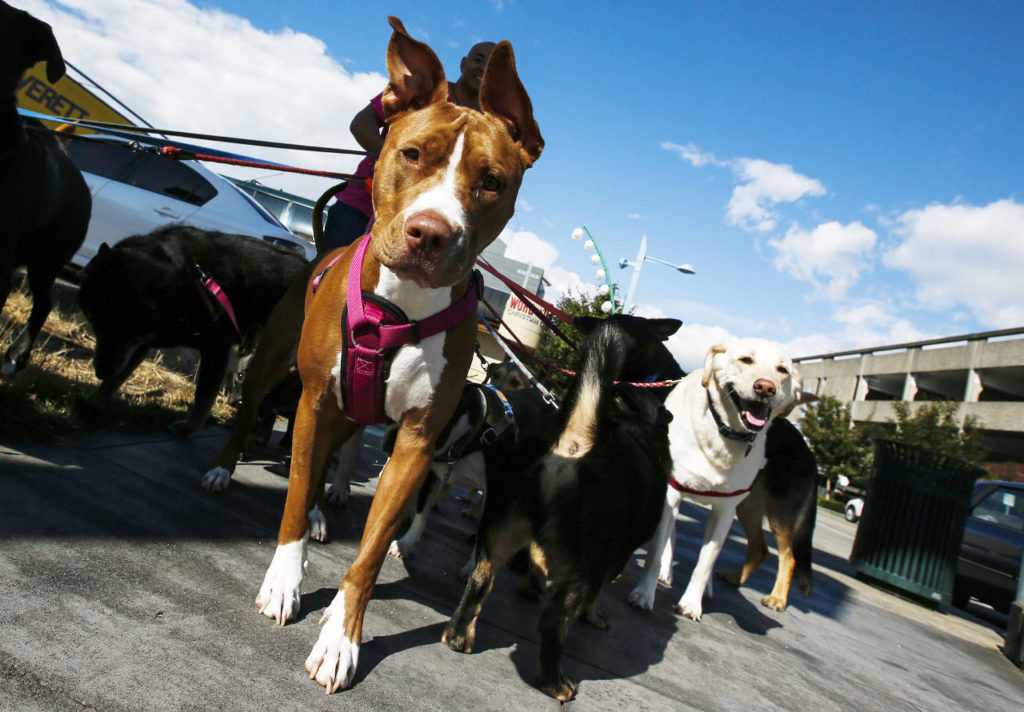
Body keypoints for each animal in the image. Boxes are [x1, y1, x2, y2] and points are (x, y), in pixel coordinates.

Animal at [253, 18, 544, 696]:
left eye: (492, 180)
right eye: (412, 155)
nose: (431, 232)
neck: (401, 306)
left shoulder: (415, 443)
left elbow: (371, 551)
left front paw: (340, 635)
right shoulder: (314, 401)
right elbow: (293, 496)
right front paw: (285, 580)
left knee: (336, 460)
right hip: (276, 370)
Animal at [626, 336, 802, 622]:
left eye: (783, 370)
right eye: (746, 360)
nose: (765, 388)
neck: (723, 433)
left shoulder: (725, 510)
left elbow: (705, 562)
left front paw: (691, 603)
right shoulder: (671, 492)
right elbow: (656, 549)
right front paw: (644, 593)